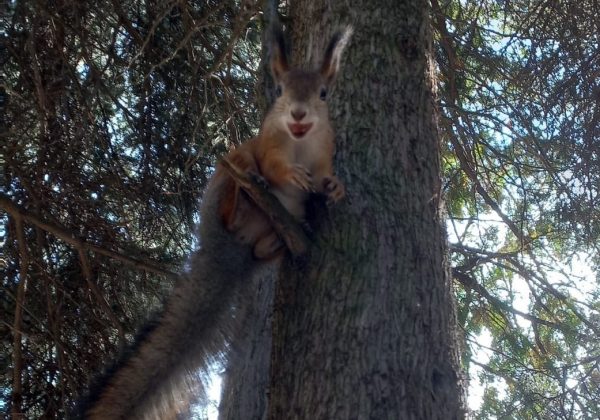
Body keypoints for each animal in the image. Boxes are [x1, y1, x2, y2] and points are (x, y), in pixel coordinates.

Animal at [79, 27, 352, 420]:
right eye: (280, 90)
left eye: (323, 93)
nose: (298, 114)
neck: (300, 142)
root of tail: (224, 247)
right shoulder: (267, 145)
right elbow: (274, 165)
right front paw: (289, 175)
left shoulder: (325, 151)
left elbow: (326, 173)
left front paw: (334, 186)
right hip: (230, 170)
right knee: (239, 186)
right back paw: (241, 197)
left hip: (277, 227)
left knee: (264, 247)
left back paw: (282, 239)